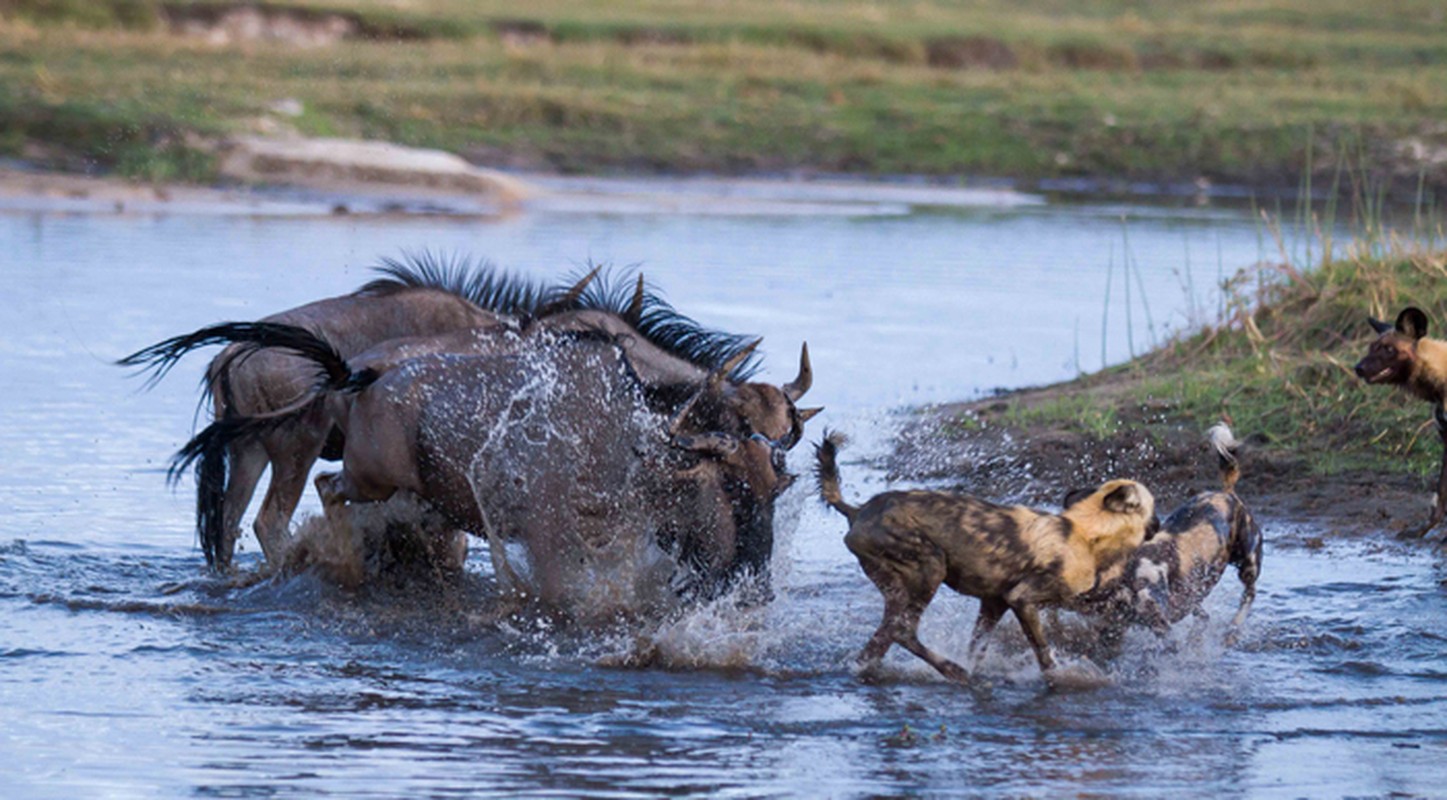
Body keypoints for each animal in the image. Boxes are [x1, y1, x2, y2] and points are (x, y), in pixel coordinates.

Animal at [816, 433, 1163, 682]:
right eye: (1154, 508)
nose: (1160, 524)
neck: (1084, 533)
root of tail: (858, 510)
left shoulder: (994, 603)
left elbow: (977, 648)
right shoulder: (1022, 599)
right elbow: (1044, 654)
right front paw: (1059, 679)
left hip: (901, 590)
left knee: (879, 642)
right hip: (930, 569)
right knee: (903, 630)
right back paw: (954, 672)